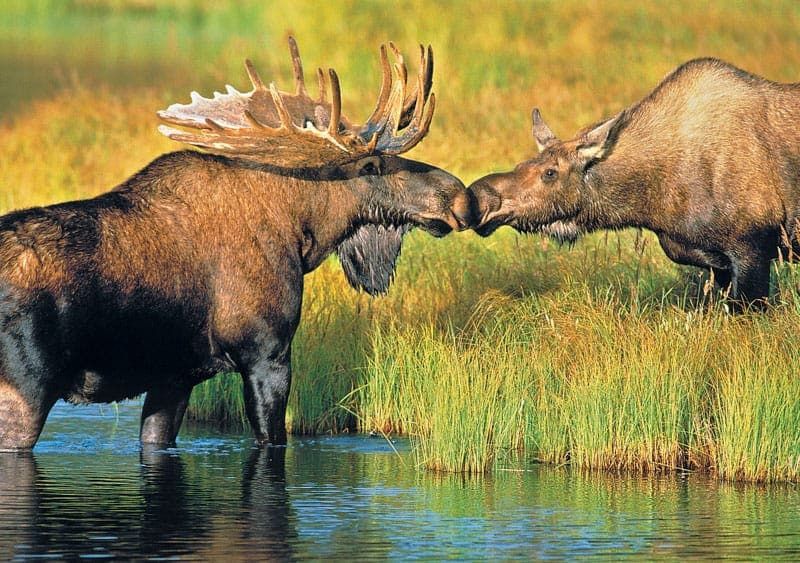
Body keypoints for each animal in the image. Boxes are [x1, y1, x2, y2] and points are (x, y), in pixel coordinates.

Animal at [0, 37, 471, 452]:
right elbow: (272, 439)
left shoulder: (175, 376)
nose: (460, 196)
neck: (301, 235)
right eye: (373, 166)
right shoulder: (266, 352)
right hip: (26, 385)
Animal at [468, 58, 800, 310]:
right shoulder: (714, 260)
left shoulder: (751, 248)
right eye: (522, 164)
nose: (481, 196)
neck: (652, 202)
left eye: (550, 172)